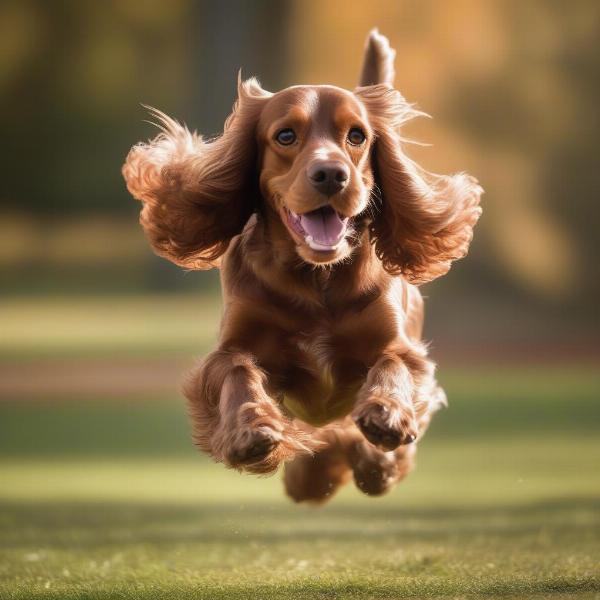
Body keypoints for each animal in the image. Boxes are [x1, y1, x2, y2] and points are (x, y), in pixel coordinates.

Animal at [123, 30, 482, 504]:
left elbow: (395, 366)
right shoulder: (231, 348)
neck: (317, 280)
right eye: (286, 135)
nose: (331, 175)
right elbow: (237, 372)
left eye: (357, 135)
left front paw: (386, 416)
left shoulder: (399, 345)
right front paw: (251, 431)